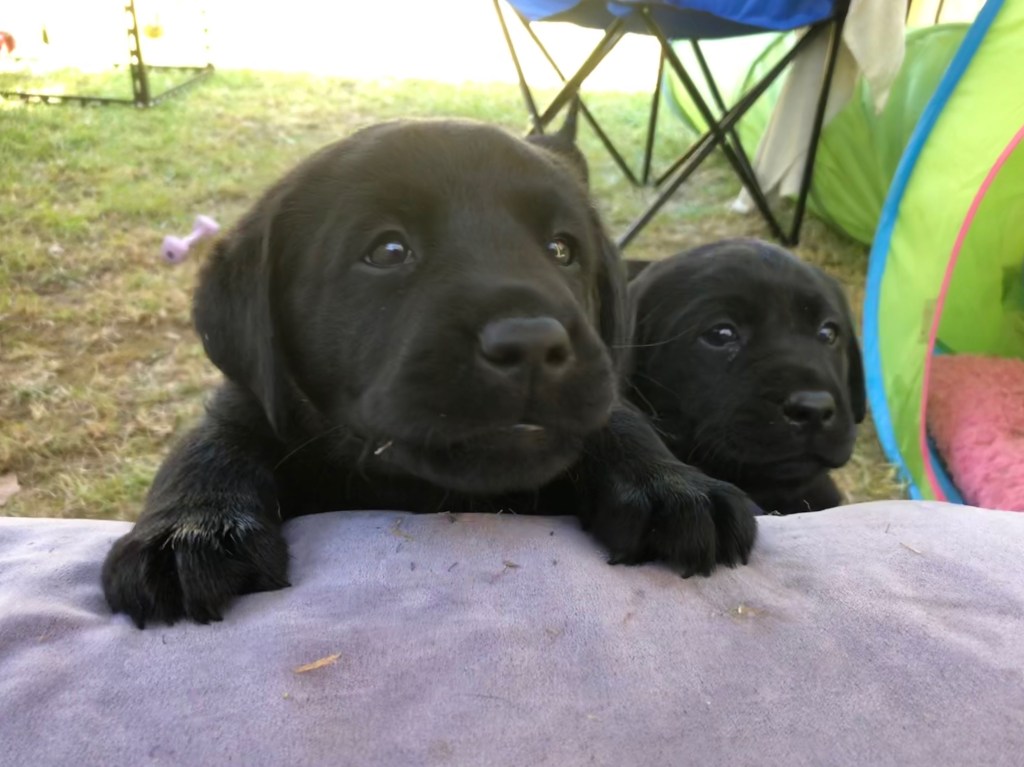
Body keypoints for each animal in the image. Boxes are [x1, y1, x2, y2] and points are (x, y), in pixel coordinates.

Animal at [102, 118, 758, 628]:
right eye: (389, 251)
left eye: (562, 250)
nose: (532, 343)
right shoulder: (251, 402)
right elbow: (210, 444)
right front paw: (188, 530)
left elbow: (618, 421)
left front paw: (671, 487)